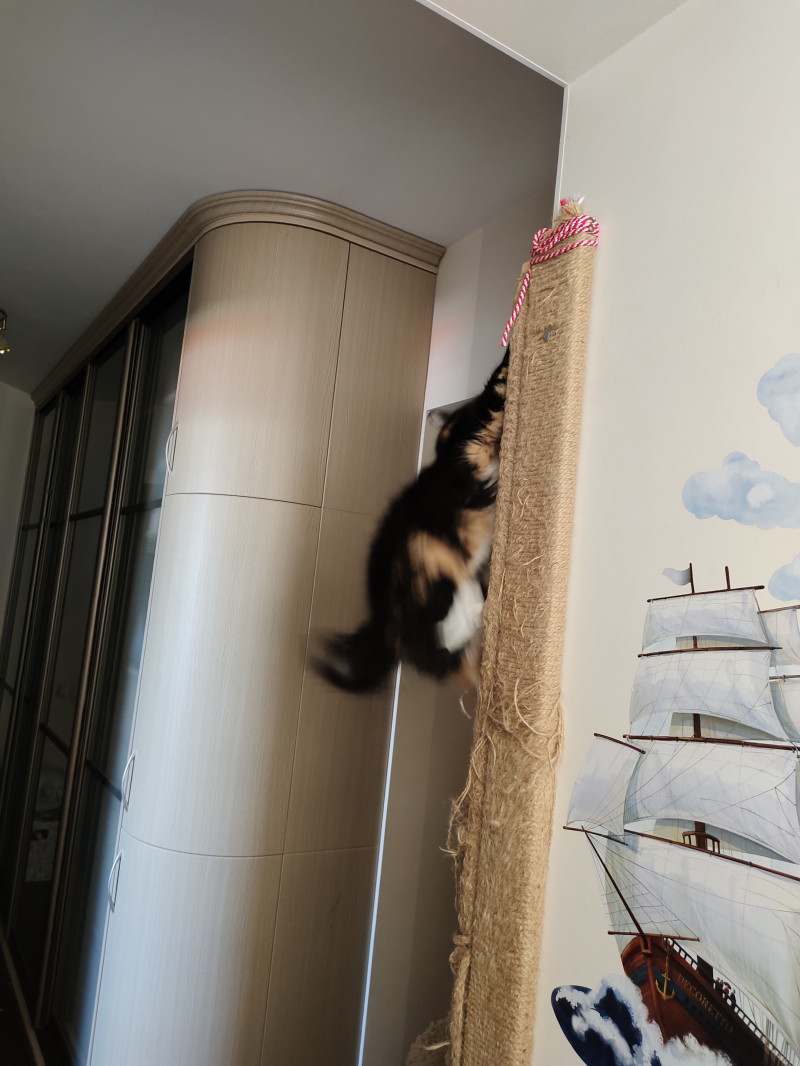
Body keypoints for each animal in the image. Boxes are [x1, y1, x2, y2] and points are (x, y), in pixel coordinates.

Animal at [314, 348, 509, 693]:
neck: (447, 446)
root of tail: (381, 625)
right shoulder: (482, 422)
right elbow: (497, 380)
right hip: (431, 561)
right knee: (449, 630)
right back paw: (479, 610)